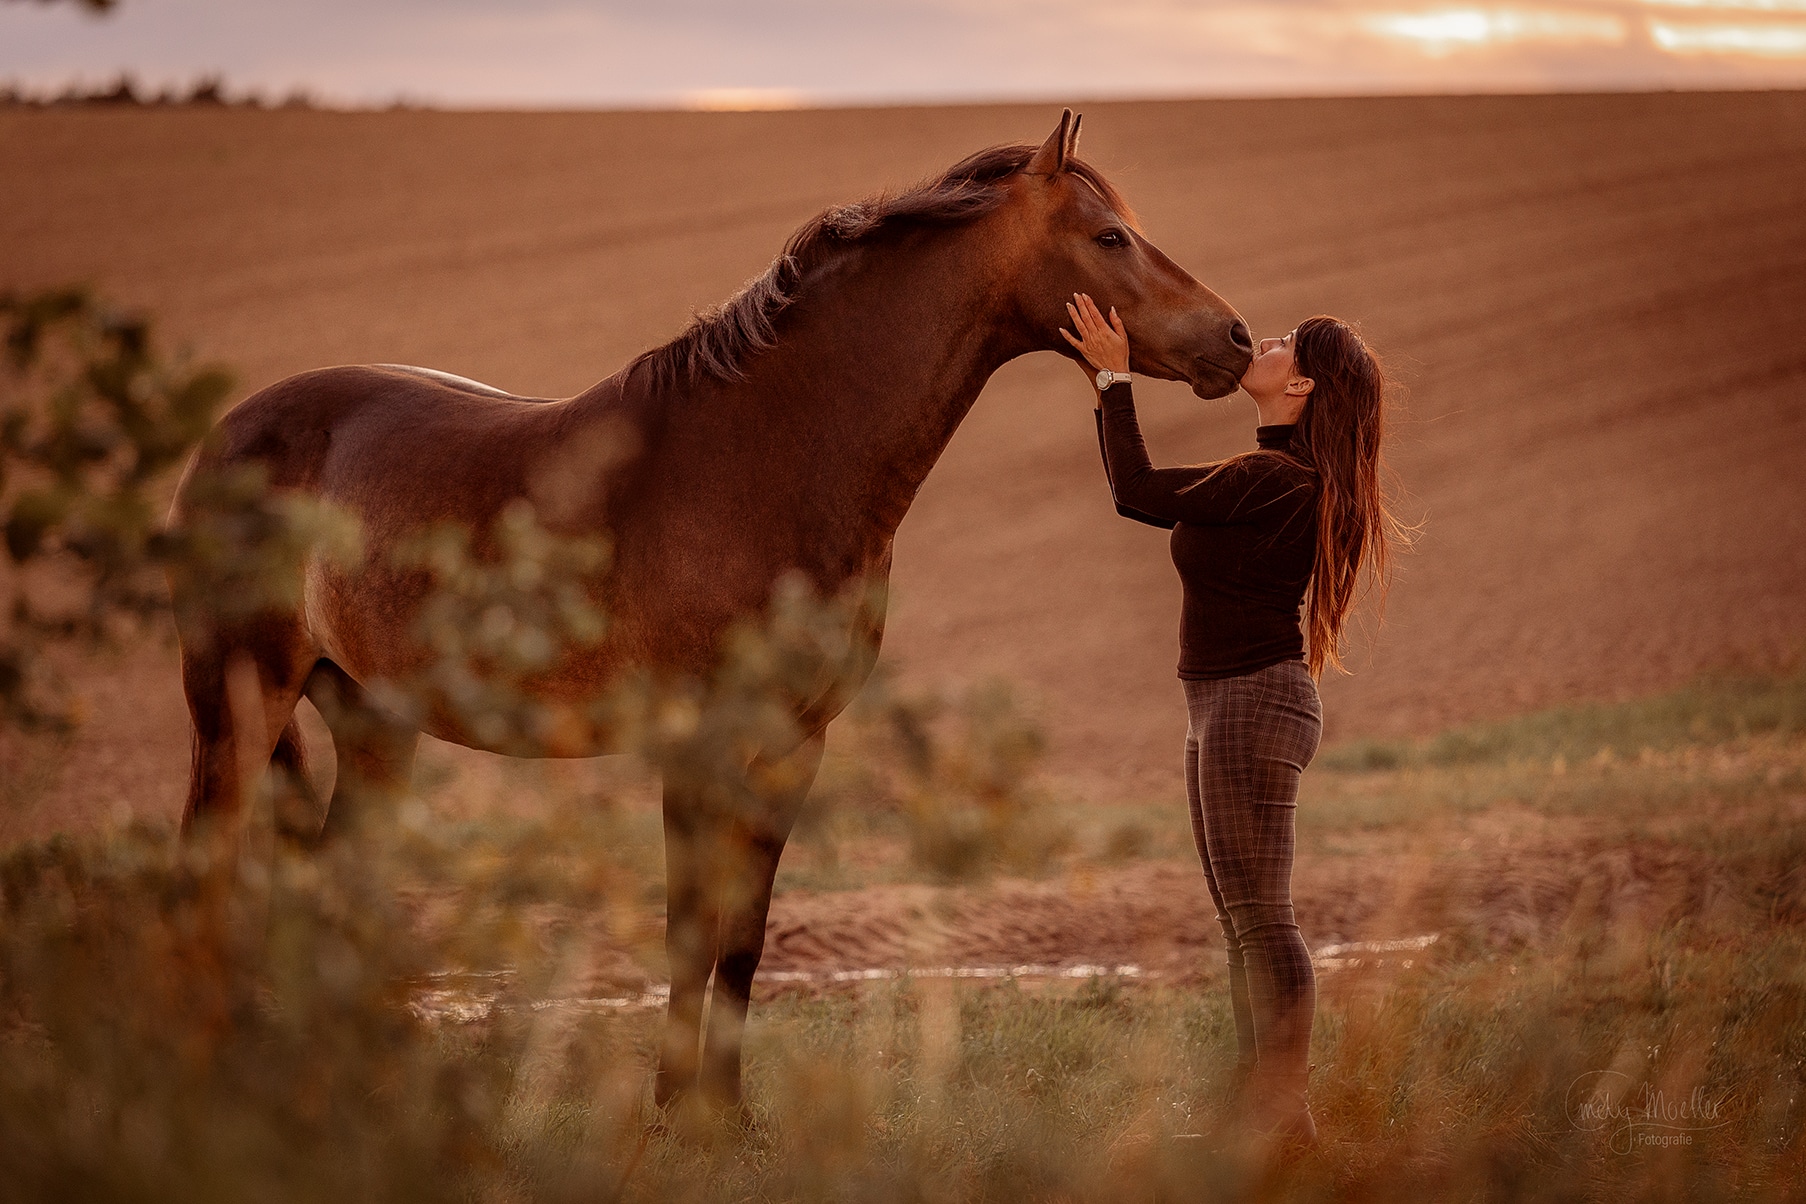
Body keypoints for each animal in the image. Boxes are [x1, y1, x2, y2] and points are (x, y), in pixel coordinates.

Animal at [167, 110, 1253, 1110]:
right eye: (1109, 237)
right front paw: (670, 1114)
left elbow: (743, 937)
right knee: (206, 868)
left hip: (372, 721)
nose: (1238, 340)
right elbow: (689, 929)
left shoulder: (792, 746)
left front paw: (724, 1118)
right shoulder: (697, 743)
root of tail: (228, 436)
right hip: (238, 703)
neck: (763, 460)